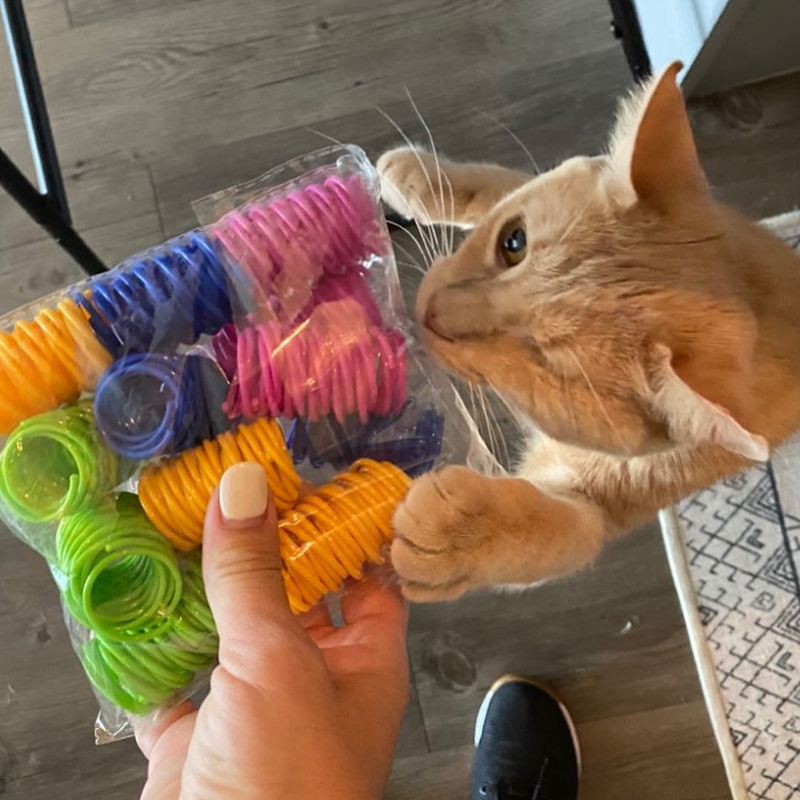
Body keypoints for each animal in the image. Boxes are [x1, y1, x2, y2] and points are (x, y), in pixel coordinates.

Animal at [378, 62, 800, 600]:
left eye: (542, 360)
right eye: (513, 241)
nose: (429, 312)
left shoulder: (612, 495)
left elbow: (555, 534)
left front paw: (454, 538)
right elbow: (503, 183)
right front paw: (421, 175)